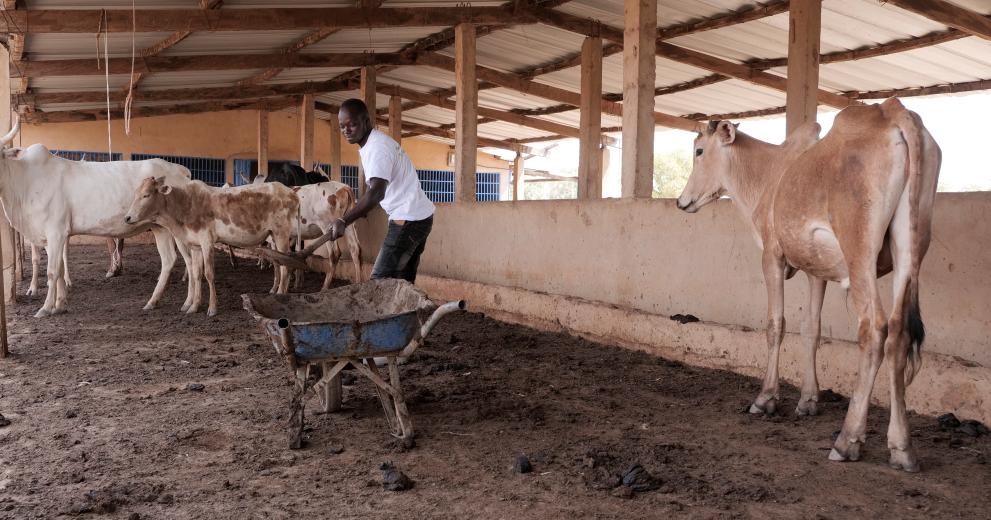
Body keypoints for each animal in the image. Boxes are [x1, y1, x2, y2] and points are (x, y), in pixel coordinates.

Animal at [0, 120, 193, 316]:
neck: (26, 182)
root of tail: (179, 169)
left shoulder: (56, 232)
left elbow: (52, 271)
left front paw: (46, 308)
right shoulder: (48, 237)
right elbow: (59, 269)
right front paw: (60, 304)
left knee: (192, 261)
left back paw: (189, 303)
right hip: (160, 228)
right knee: (169, 259)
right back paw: (153, 301)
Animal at [122, 178, 298, 316]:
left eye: (146, 195)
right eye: (135, 194)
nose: (127, 217)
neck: (185, 205)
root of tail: (290, 192)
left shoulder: (206, 240)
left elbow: (209, 274)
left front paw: (212, 308)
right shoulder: (195, 245)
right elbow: (196, 274)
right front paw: (193, 306)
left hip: (282, 233)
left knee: (286, 267)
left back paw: (281, 296)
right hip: (274, 236)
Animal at [680, 97, 940, 472]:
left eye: (699, 150)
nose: (681, 201)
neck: (769, 175)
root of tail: (893, 111)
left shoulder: (772, 256)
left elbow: (776, 324)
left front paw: (766, 399)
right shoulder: (816, 271)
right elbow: (811, 329)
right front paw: (808, 400)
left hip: (860, 253)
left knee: (874, 330)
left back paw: (847, 440)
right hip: (909, 250)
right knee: (899, 333)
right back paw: (901, 447)